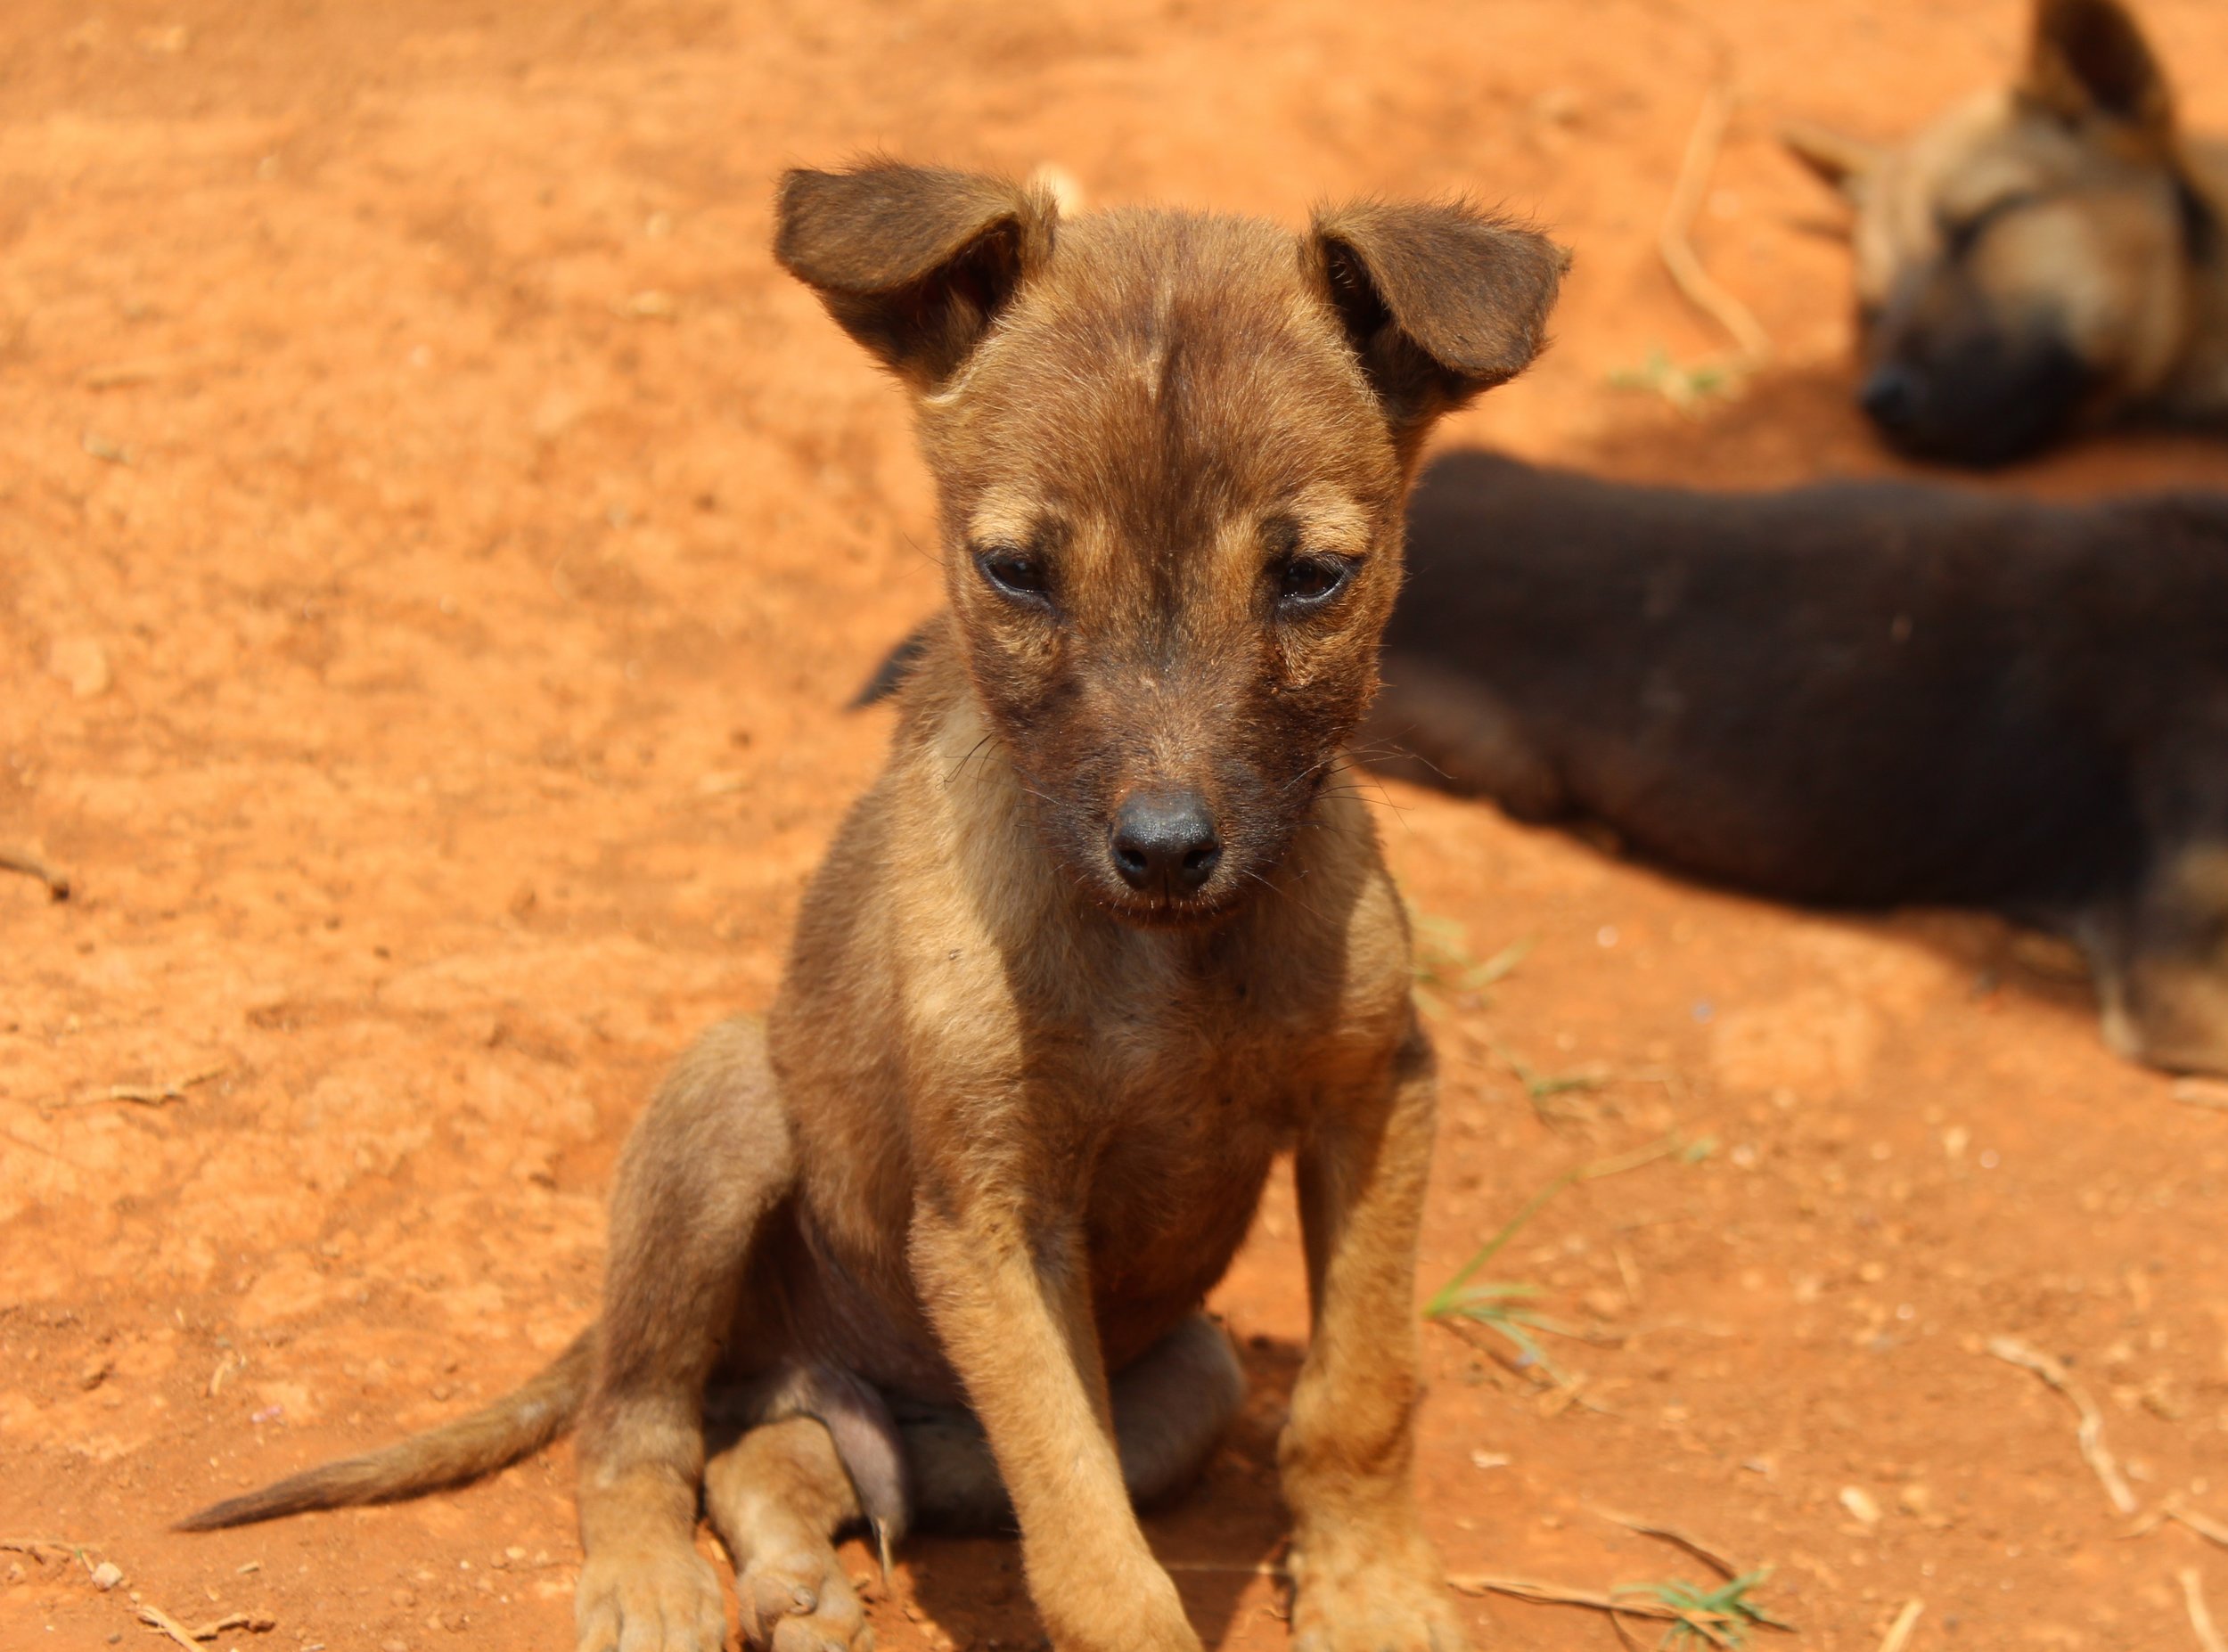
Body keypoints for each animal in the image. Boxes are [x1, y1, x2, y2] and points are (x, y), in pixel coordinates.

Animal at [178, 164, 1569, 1652]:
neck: (1172, 964)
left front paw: (1375, 1589)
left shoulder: (1376, 1091)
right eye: (1015, 570)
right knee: (636, 1421)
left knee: (802, 1446)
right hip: (728, 1101)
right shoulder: (991, 1218)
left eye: (1312, 576)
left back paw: (796, 1571)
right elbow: (1088, 1541)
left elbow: (1355, 1394)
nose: (1165, 850)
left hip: (1168, 1380)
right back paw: (651, 1578)